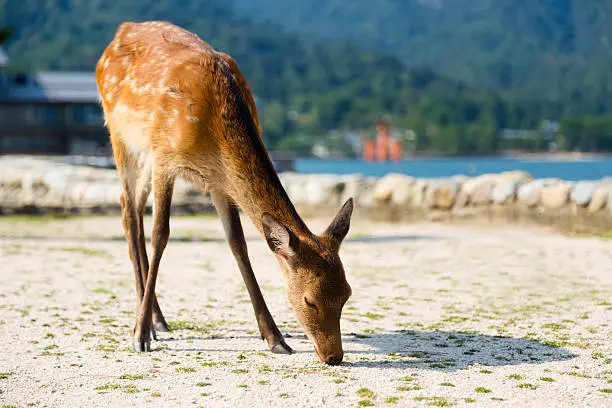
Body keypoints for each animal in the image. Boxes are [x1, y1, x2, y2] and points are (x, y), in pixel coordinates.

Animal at [95, 21, 354, 366]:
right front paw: (138, 337)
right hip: (121, 135)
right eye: (310, 300)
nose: (333, 355)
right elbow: (160, 234)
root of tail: (121, 31)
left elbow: (238, 245)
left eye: (347, 294)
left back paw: (157, 319)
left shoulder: (219, 183)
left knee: (132, 207)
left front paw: (276, 338)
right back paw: (146, 324)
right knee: (129, 212)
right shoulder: (165, 157)